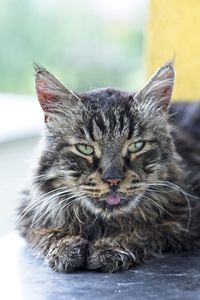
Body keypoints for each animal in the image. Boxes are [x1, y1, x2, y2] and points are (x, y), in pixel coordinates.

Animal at [16, 62, 200, 272]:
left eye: (136, 146)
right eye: (85, 149)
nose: (113, 179)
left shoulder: (185, 220)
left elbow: (146, 229)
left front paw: (110, 248)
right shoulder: (29, 216)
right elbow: (49, 231)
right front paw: (66, 247)